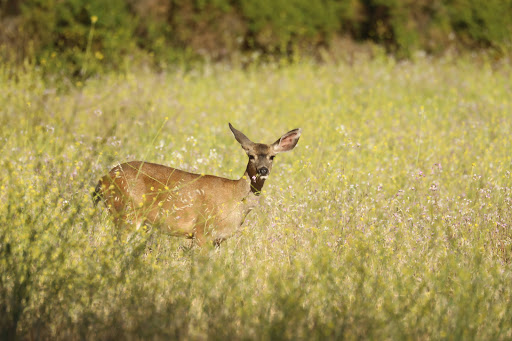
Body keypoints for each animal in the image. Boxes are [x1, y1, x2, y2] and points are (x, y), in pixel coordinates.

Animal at [92, 123, 302, 246]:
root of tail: (103, 179)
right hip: (126, 213)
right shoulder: (202, 231)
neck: (235, 197)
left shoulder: (218, 240)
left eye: (272, 156)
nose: (263, 170)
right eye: (251, 156)